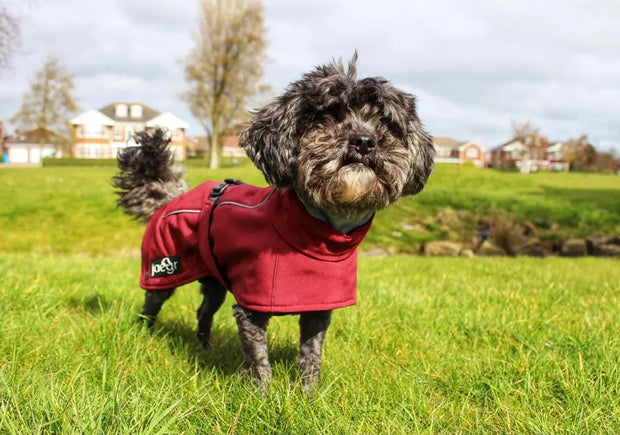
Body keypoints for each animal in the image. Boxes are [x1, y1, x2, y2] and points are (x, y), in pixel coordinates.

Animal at [113, 54, 434, 390]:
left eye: (385, 122)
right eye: (327, 116)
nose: (364, 141)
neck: (318, 236)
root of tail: (170, 197)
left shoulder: (319, 308)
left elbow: (311, 354)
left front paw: (309, 393)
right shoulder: (251, 307)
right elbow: (258, 358)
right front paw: (261, 393)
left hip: (214, 280)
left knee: (204, 310)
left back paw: (204, 347)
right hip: (163, 269)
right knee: (151, 305)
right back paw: (144, 337)